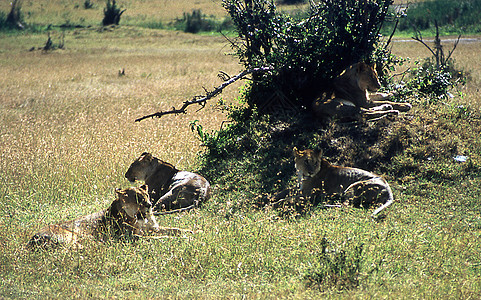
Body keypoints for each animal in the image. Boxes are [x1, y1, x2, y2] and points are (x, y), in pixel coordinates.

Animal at [29, 184, 190, 250]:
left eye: (147, 196)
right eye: (137, 198)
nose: (150, 205)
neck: (140, 218)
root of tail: (33, 238)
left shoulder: (153, 228)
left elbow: (174, 229)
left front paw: (191, 232)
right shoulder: (131, 237)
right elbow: (159, 237)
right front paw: (178, 239)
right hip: (71, 236)